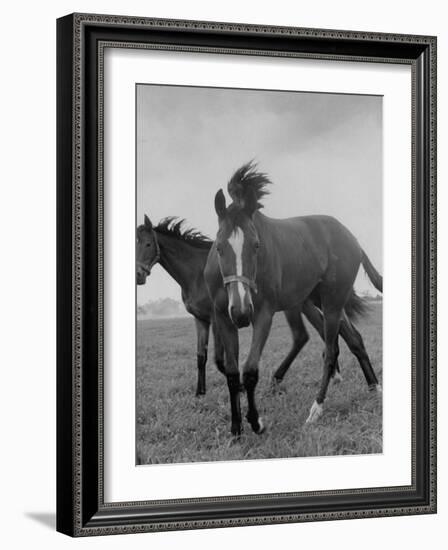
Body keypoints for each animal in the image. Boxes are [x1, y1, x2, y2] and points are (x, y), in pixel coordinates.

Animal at [136, 215, 364, 396]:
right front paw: (200, 393)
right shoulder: (200, 319)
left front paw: (239, 387)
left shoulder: (218, 319)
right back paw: (338, 377)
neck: (196, 273)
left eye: (147, 244)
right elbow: (201, 356)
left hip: (306, 305)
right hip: (310, 304)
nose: (138, 275)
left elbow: (220, 359)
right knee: (331, 334)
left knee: (316, 335)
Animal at [204, 162, 382, 438]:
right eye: (220, 246)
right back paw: (374, 387)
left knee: (331, 350)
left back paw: (316, 409)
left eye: (256, 245)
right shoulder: (223, 316)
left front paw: (256, 422)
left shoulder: (264, 314)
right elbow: (233, 374)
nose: (242, 313)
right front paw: (236, 428)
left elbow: (250, 370)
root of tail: (352, 239)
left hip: (332, 302)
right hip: (319, 301)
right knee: (354, 339)